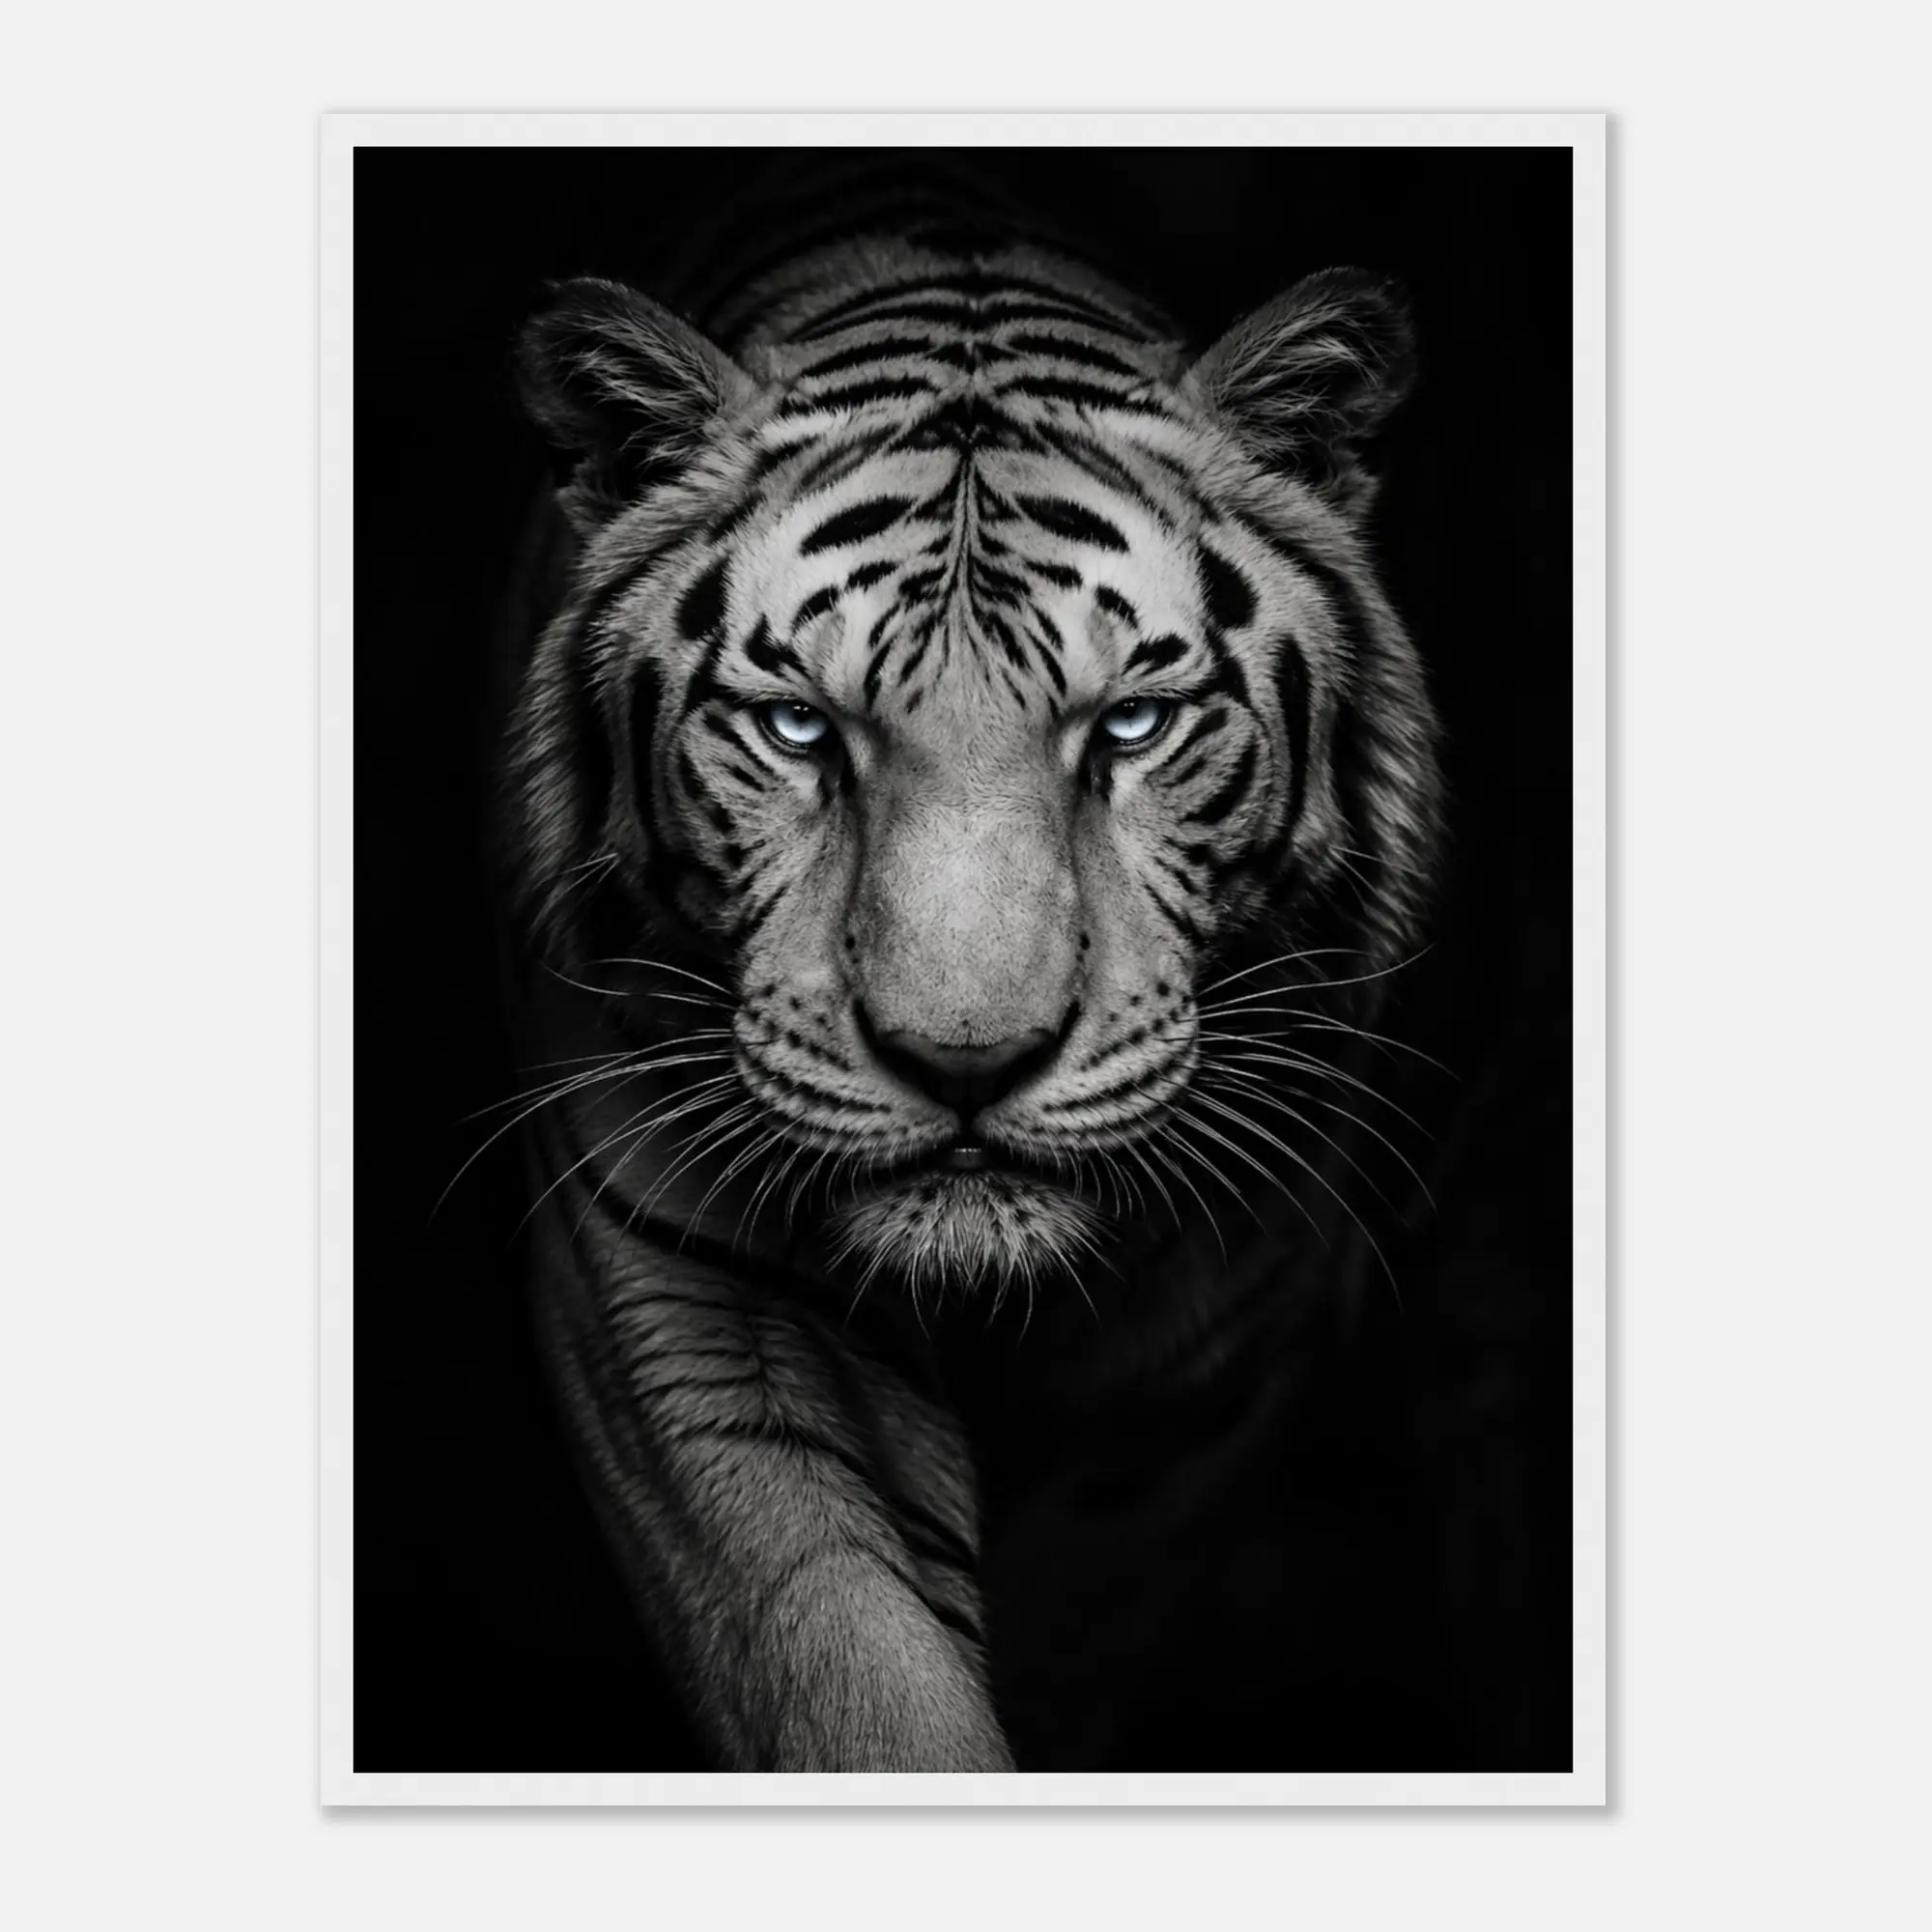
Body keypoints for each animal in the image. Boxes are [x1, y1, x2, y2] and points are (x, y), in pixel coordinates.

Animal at [498, 167, 1443, 1772]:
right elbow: (848, 1659)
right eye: (799, 728)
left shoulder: (1198, 1383)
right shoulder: (691, 1299)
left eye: (1132, 724)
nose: (962, 1063)